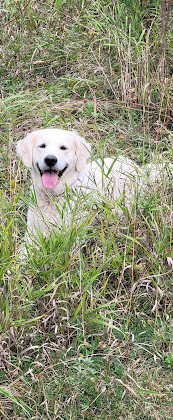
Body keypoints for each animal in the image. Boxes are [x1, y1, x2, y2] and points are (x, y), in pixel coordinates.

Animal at [16, 128, 172, 236]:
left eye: (63, 148)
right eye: (42, 146)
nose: (50, 159)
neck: (53, 197)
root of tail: (138, 168)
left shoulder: (70, 232)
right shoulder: (32, 232)